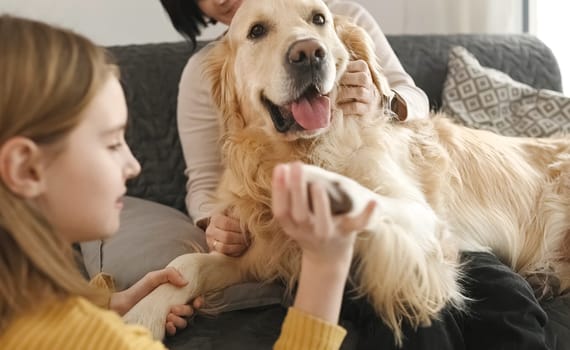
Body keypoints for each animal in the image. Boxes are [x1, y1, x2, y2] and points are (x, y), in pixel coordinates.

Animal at [123, 0, 568, 344]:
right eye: (256, 31)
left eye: (319, 18)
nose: (308, 53)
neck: (304, 151)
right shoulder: (262, 255)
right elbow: (186, 266)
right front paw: (141, 315)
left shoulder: (421, 220)